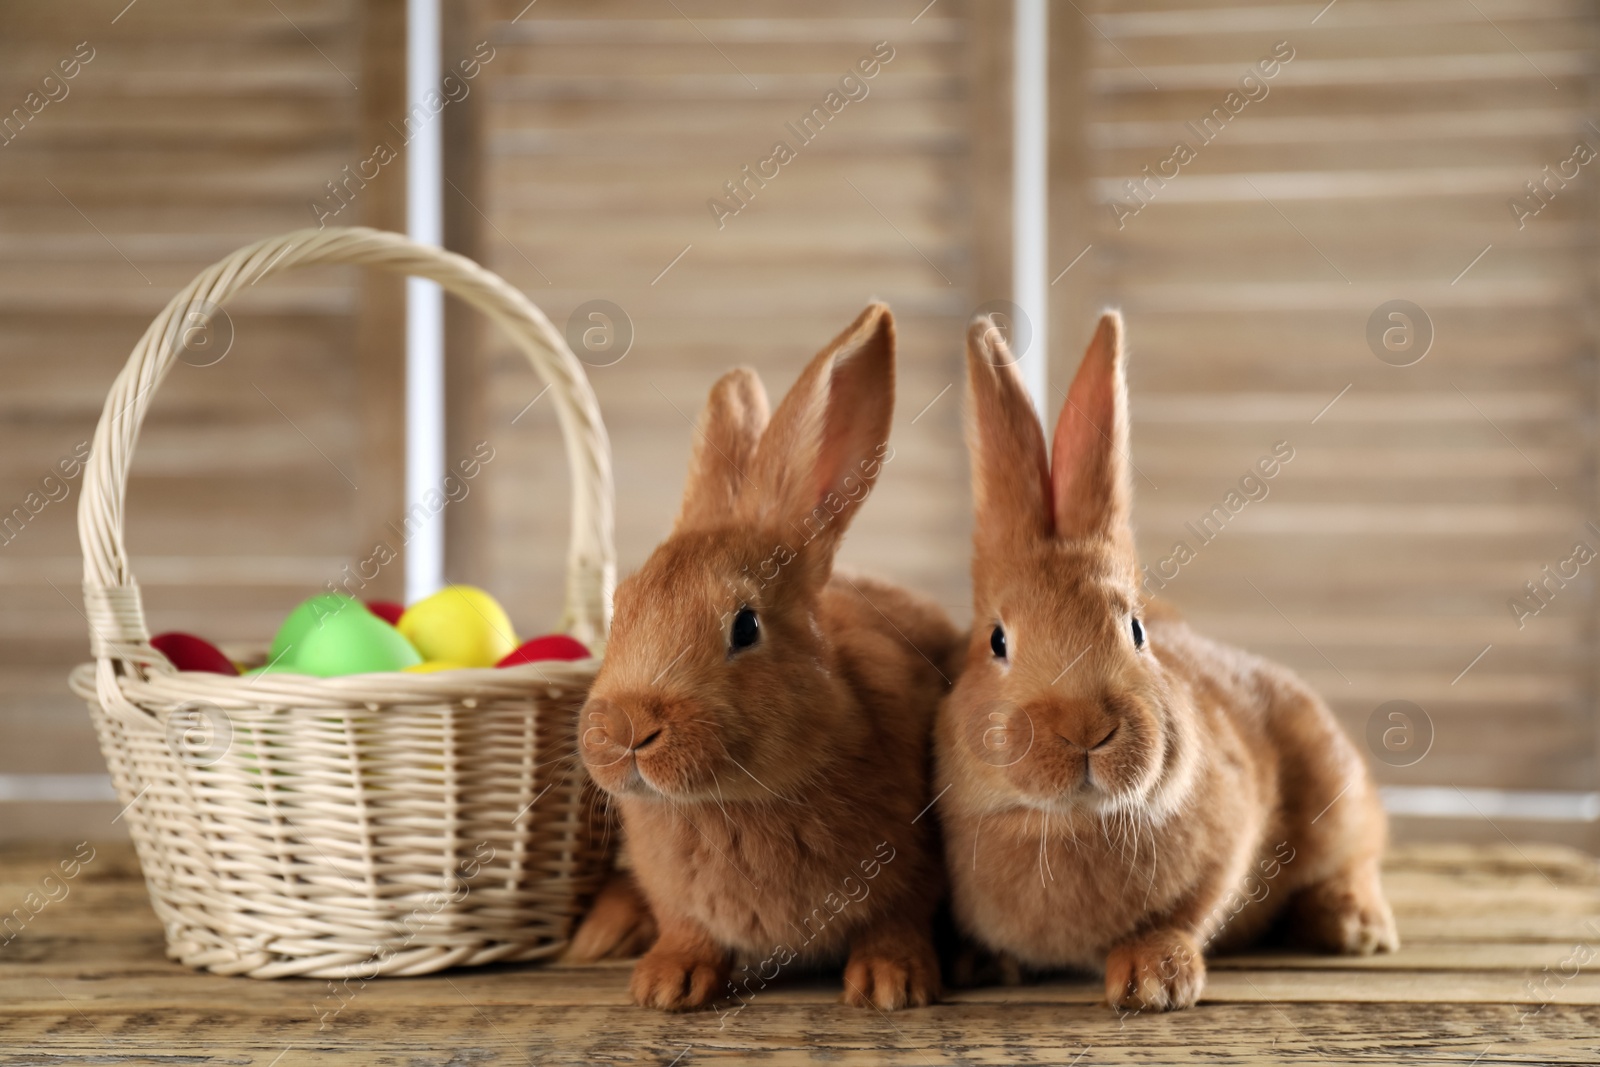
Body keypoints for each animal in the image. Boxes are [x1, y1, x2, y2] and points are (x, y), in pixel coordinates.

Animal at [934, 313, 1401, 1017]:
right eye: (997, 641)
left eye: (1136, 630)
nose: (1086, 730)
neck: (1067, 822)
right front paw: (975, 963)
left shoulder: (1233, 832)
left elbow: (1193, 909)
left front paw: (1153, 979)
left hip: (1338, 793)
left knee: (1359, 853)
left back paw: (1355, 926)